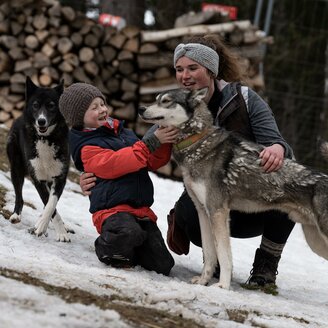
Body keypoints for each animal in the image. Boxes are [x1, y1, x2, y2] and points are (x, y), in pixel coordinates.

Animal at [6, 76, 73, 241]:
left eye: (51, 106)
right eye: (35, 105)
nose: (41, 121)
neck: (45, 138)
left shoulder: (60, 178)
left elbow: (51, 204)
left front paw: (53, 228)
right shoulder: (37, 178)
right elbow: (49, 205)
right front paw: (47, 228)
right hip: (16, 169)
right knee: (19, 196)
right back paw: (16, 215)